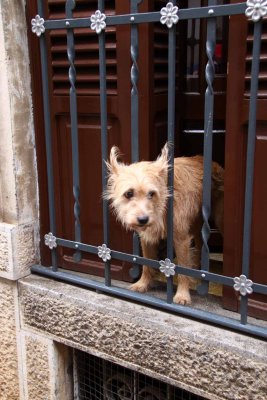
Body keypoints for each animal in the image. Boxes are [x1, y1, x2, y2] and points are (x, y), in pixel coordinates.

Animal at [104, 144, 224, 304]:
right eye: (129, 193)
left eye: (151, 194)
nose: (143, 219)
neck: (163, 205)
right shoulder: (146, 238)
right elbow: (146, 263)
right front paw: (143, 283)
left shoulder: (180, 239)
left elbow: (182, 268)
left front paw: (182, 294)